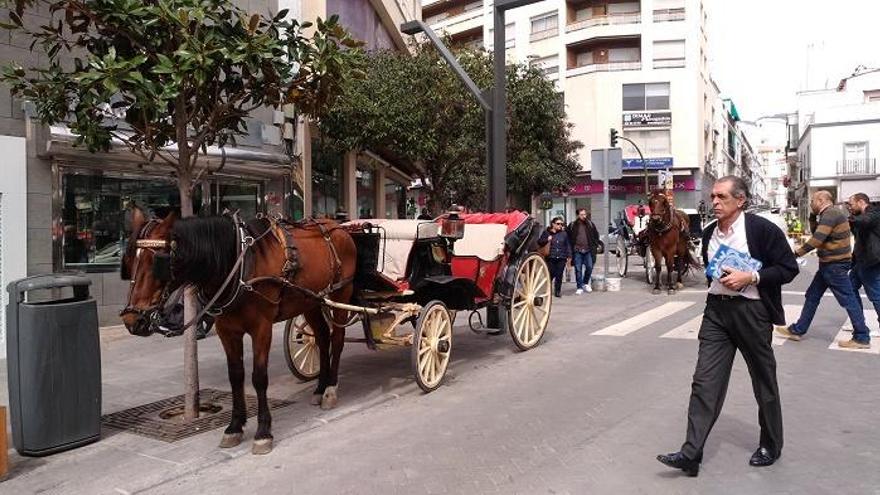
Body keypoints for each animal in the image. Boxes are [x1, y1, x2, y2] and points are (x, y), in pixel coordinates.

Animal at [118, 207, 356, 456]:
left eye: (157, 262)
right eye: (128, 260)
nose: (133, 320)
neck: (238, 266)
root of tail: (338, 226)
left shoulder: (262, 328)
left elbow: (259, 377)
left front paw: (263, 431)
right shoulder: (227, 330)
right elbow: (236, 376)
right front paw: (234, 427)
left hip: (341, 294)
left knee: (337, 340)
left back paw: (330, 389)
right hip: (311, 301)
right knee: (321, 337)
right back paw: (319, 388)